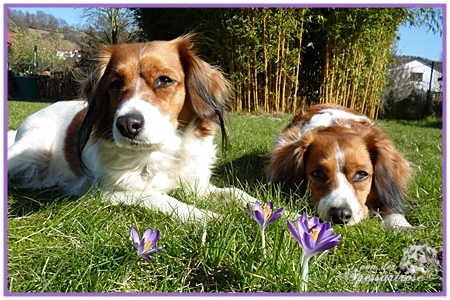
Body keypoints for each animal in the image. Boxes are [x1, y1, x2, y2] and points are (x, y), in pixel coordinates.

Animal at [7, 35, 256, 223]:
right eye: (115, 84)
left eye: (164, 80)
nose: (127, 124)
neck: (162, 151)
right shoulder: (110, 192)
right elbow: (160, 198)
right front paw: (206, 217)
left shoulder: (197, 185)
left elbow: (234, 192)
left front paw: (260, 208)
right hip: (32, 149)